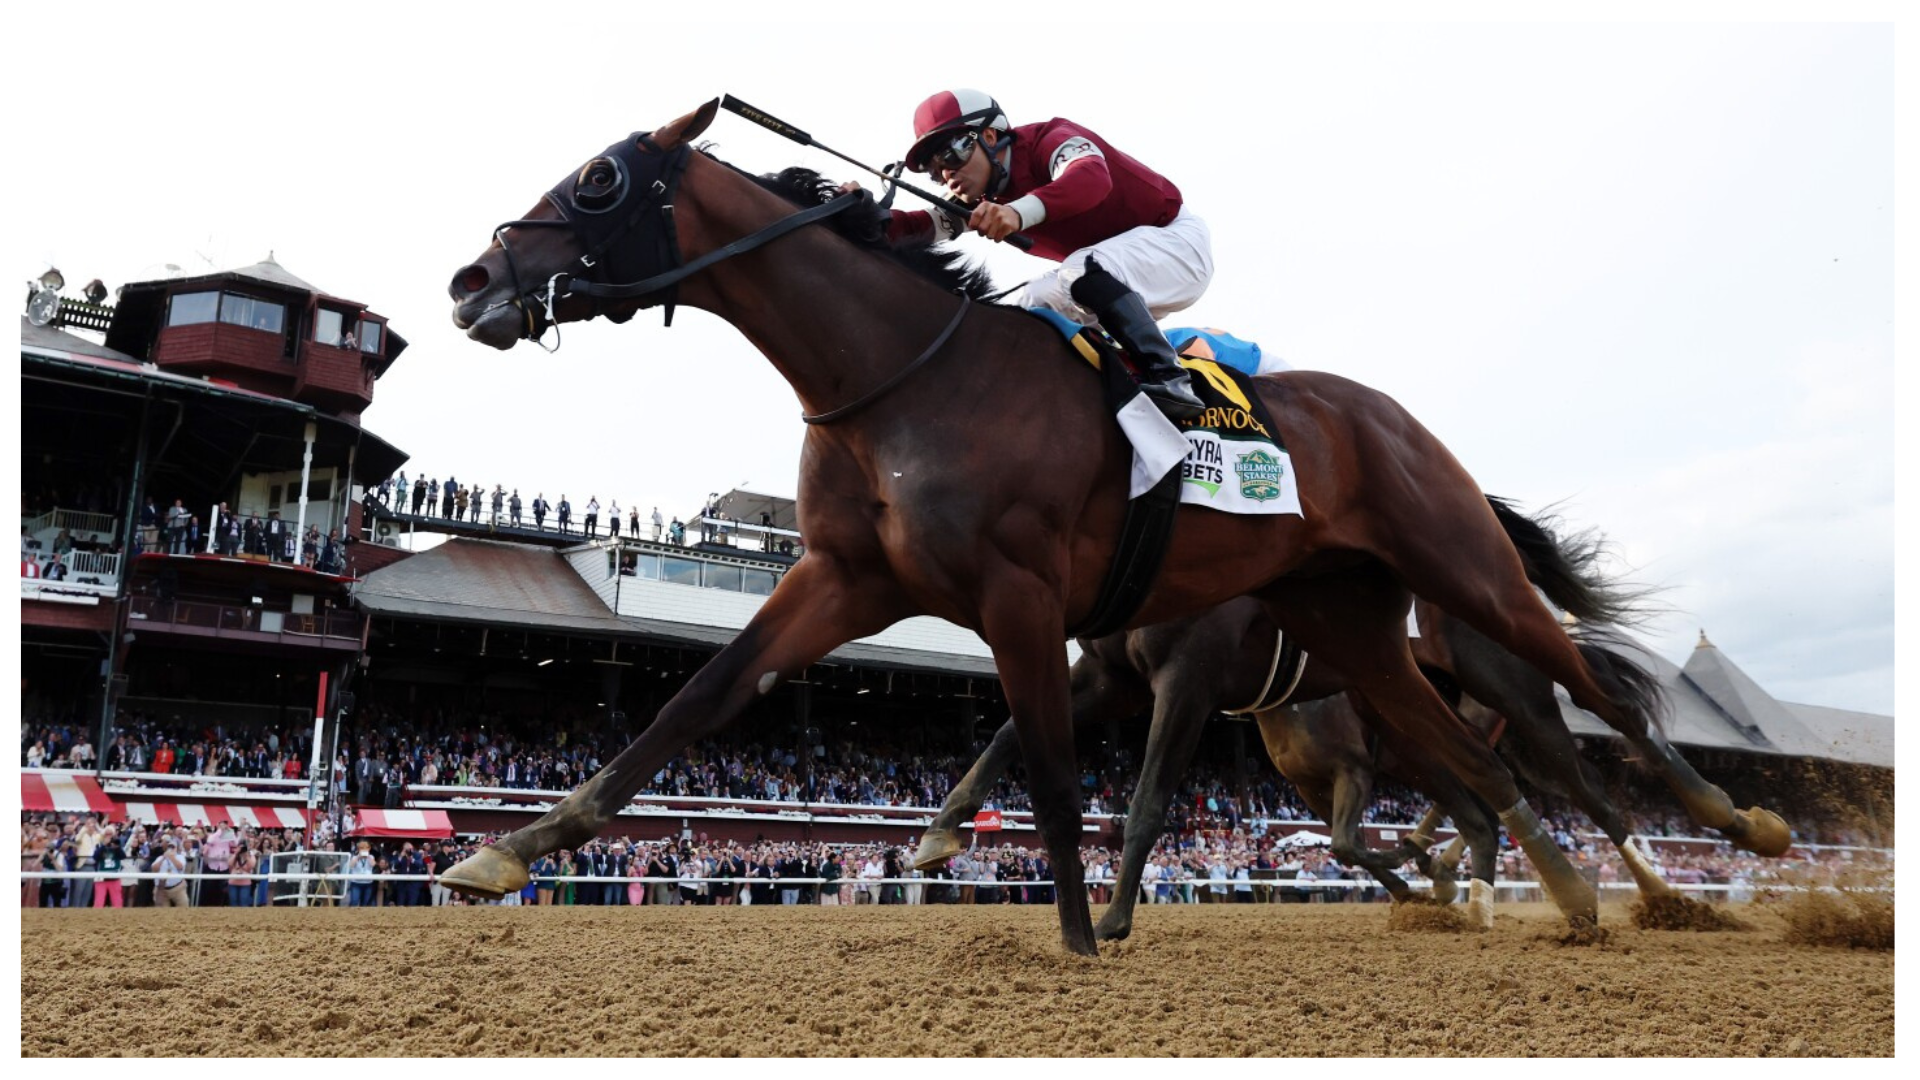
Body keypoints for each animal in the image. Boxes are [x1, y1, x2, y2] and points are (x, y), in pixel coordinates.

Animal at [439, 96, 1781, 945]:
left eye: (598, 180)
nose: (472, 279)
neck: (904, 374)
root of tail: (1395, 419)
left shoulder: (1029, 599)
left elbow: (1055, 767)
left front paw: (1084, 938)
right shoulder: (845, 578)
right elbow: (698, 699)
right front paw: (503, 851)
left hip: (1465, 574)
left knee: (1594, 718)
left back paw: (1726, 833)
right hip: (1352, 629)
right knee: (1476, 772)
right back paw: (1567, 898)